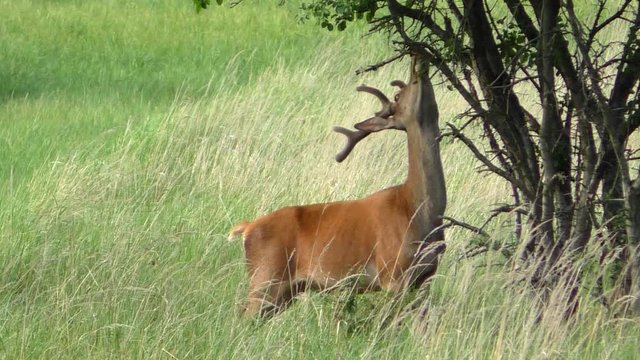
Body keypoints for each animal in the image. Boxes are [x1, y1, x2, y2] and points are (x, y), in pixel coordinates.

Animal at [229, 54, 444, 316]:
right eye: (397, 95)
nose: (417, 58)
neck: (417, 208)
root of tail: (248, 228)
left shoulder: (426, 276)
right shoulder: (393, 274)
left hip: (285, 291)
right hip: (265, 278)